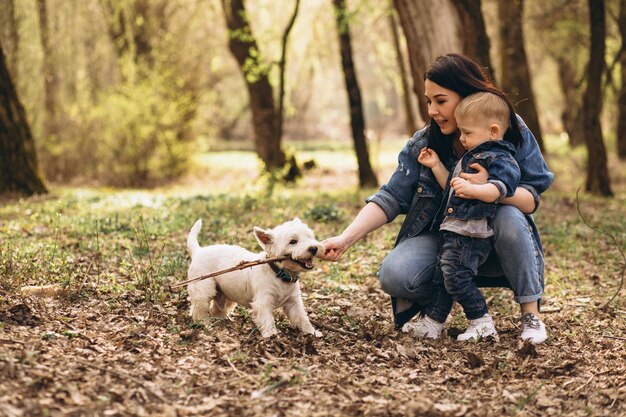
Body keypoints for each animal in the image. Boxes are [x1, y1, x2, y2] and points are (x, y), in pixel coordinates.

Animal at [185, 219, 322, 336]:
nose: (314, 248)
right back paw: (205, 324)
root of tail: (198, 251)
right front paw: (272, 337)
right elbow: (268, 321)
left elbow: (302, 319)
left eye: (309, 236)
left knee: (217, 308)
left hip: (225, 293)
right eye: (293, 241)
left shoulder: (294, 302)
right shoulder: (263, 303)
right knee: (199, 309)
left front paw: (313, 333)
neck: (281, 275)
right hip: (202, 289)